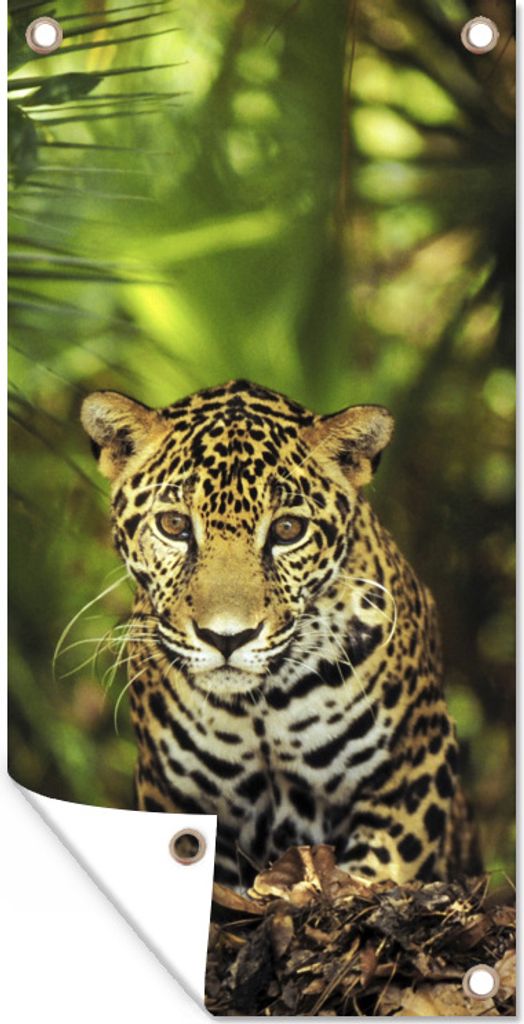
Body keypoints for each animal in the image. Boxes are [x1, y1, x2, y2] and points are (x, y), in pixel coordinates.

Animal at [81, 379, 479, 887]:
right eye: (174, 525)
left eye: (288, 529)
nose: (227, 638)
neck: (261, 708)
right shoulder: (174, 793)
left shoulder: (416, 768)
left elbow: (377, 872)